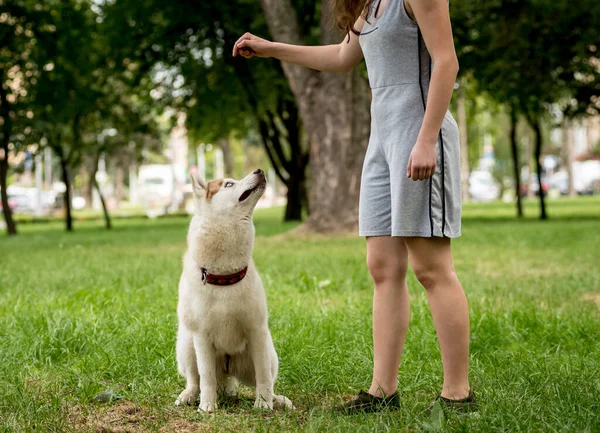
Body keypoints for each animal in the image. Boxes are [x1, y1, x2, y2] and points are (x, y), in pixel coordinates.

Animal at [175, 168, 294, 412]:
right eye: (229, 184)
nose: (259, 170)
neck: (224, 277)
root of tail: (227, 374)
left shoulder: (257, 331)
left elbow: (263, 377)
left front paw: (264, 404)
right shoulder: (201, 337)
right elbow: (206, 377)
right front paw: (207, 407)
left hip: (267, 352)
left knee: (264, 378)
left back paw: (277, 400)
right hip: (186, 343)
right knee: (195, 379)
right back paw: (190, 396)